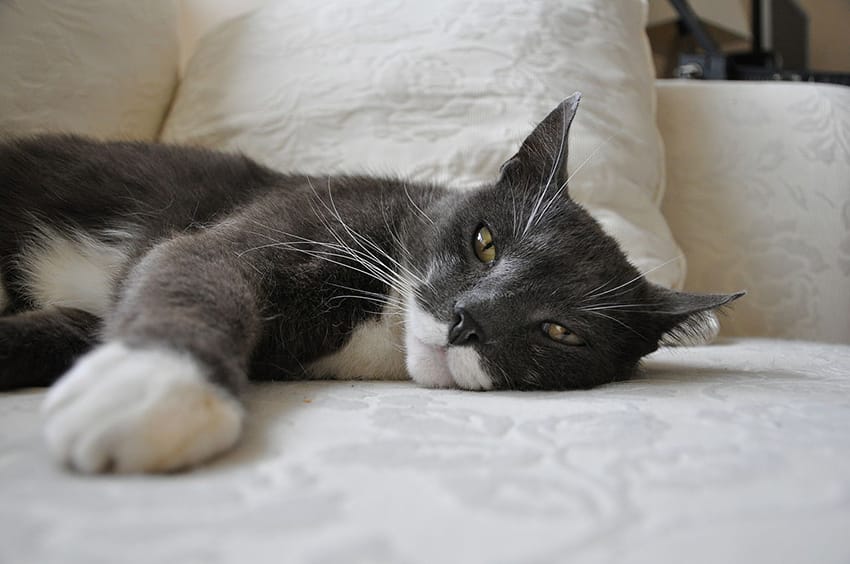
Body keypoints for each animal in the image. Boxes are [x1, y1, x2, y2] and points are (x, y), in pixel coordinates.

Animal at [0, 94, 740, 474]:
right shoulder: (258, 229)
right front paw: (152, 386)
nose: (468, 320)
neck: (381, 331)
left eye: (559, 331)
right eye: (486, 241)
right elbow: (199, 270)